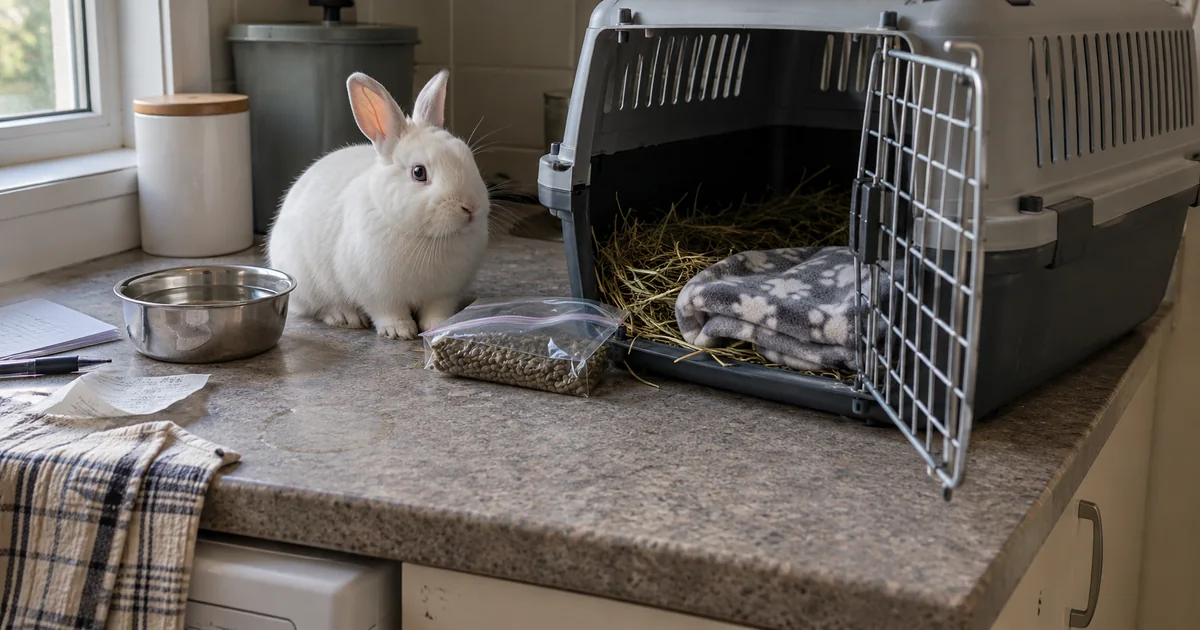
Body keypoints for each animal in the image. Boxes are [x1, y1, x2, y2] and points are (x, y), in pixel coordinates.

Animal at [266, 69, 490, 340]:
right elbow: (387, 311)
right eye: (419, 172)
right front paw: (400, 331)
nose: (470, 206)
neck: (430, 239)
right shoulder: (377, 292)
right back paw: (345, 316)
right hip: (308, 284)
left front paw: (439, 326)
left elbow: (437, 311)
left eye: (468, 156)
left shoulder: (444, 293)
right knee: (320, 308)